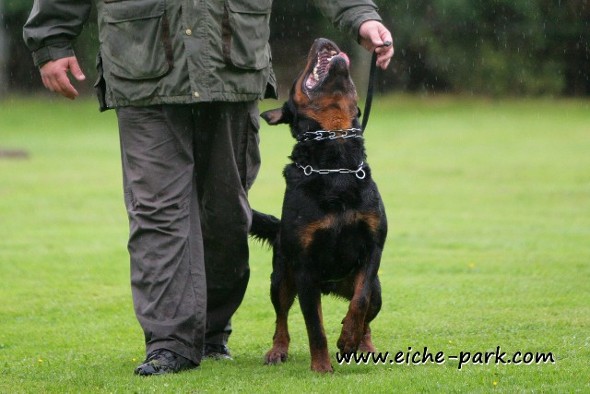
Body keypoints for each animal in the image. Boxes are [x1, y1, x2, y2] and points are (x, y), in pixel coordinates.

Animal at [253, 37, 388, 372]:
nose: (322, 40)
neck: (335, 161)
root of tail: (332, 287)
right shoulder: (304, 268)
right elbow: (315, 326)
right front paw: (322, 367)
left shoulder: (373, 248)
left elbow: (360, 302)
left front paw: (349, 338)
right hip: (281, 278)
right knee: (281, 317)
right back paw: (278, 349)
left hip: (377, 289)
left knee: (368, 312)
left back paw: (364, 344)